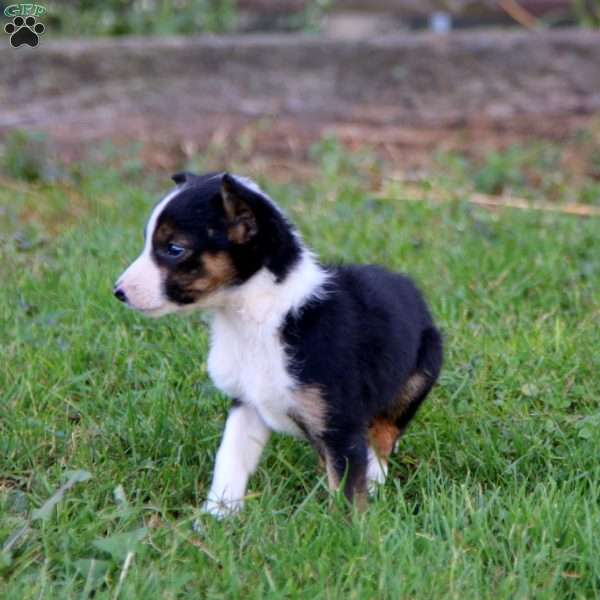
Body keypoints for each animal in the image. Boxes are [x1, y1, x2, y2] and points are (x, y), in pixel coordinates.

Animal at [113, 172, 440, 516]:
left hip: (418, 374)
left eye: (174, 249)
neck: (258, 316)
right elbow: (230, 458)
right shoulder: (248, 403)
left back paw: (376, 480)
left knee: (384, 434)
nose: (118, 291)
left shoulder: (341, 422)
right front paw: (217, 515)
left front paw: (347, 527)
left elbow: (349, 488)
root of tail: (407, 285)